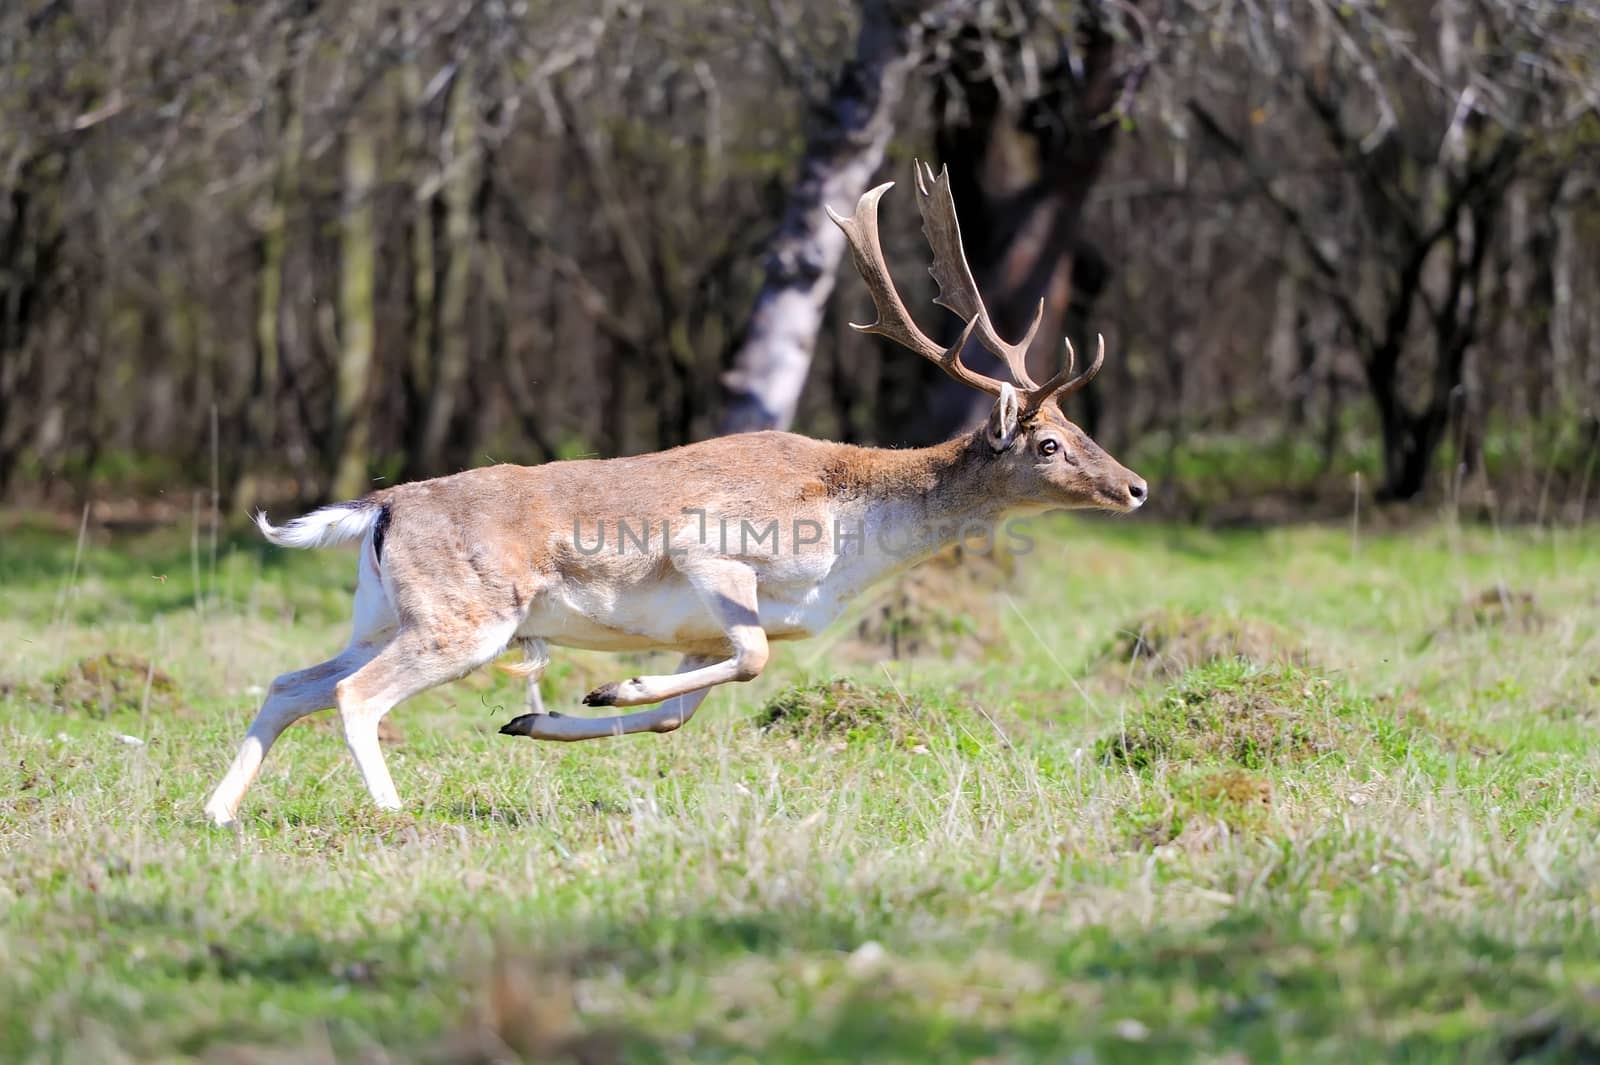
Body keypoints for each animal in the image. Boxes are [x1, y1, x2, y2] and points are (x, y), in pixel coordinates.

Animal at [206, 161, 1145, 818]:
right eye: (1050, 443)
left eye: (1082, 430)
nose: (1135, 487)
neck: (850, 544)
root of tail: (381, 505)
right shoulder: (716, 552)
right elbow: (754, 658)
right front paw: (604, 687)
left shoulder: (698, 630)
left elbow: (682, 711)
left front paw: (549, 715)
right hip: (463, 619)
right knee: (349, 693)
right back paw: (393, 811)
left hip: (381, 612)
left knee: (291, 680)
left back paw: (217, 810)